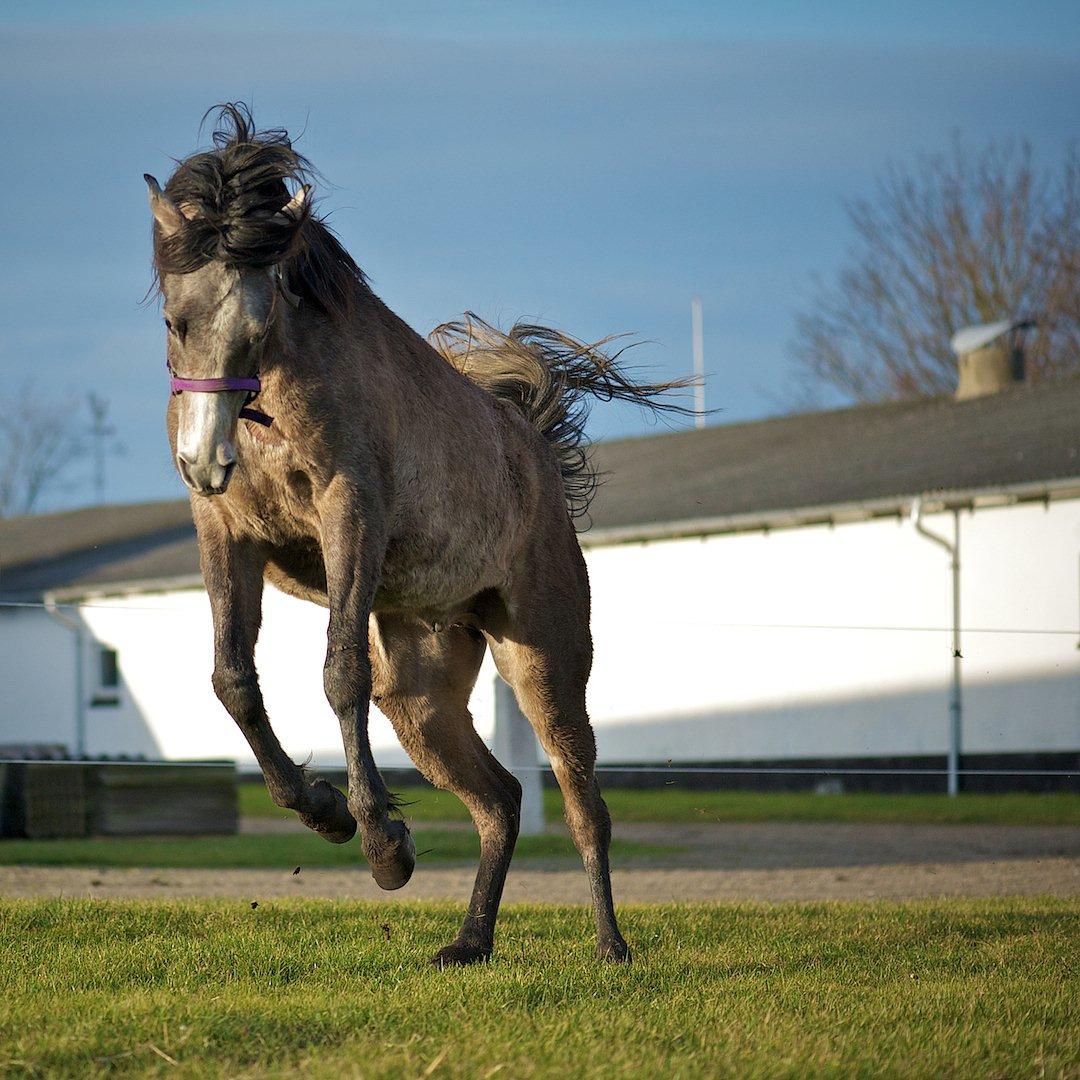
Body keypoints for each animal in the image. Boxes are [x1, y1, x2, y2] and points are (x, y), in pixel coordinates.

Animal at [145, 105, 682, 967]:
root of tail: (534, 447)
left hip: (543, 658)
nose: (205, 457)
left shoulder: (351, 514)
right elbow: (233, 680)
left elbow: (340, 674)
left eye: (260, 321)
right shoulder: (227, 531)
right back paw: (469, 941)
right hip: (422, 696)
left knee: (580, 801)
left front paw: (379, 845)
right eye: (176, 319)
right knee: (500, 799)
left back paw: (610, 947)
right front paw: (325, 809)